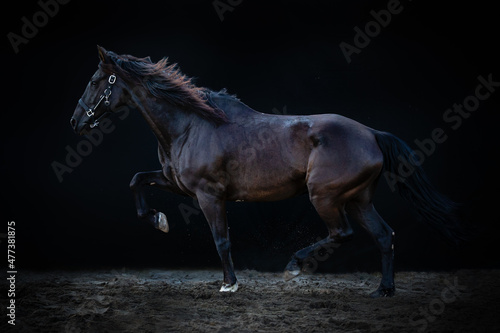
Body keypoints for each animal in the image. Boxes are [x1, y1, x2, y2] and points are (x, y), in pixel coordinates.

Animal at [70, 46, 464, 296]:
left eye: (94, 81)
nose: (75, 122)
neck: (190, 125)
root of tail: (372, 133)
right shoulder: (177, 183)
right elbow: (136, 180)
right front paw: (158, 220)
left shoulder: (209, 194)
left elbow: (221, 239)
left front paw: (229, 283)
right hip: (359, 199)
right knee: (383, 236)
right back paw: (384, 290)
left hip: (326, 196)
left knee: (343, 233)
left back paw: (294, 265)